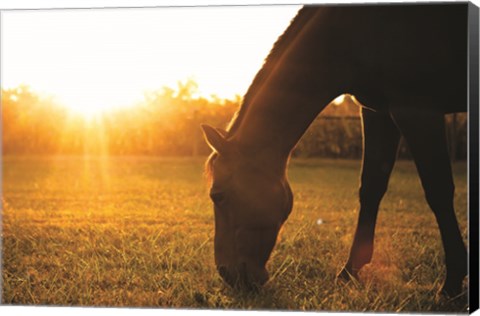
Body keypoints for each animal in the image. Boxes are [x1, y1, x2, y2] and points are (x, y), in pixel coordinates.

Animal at [200, 3, 472, 296]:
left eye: (217, 195)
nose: (227, 274)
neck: (347, 31)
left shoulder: (417, 110)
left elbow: (439, 192)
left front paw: (453, 281)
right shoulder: (378, 112)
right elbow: (371, 188)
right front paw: (349, 271)